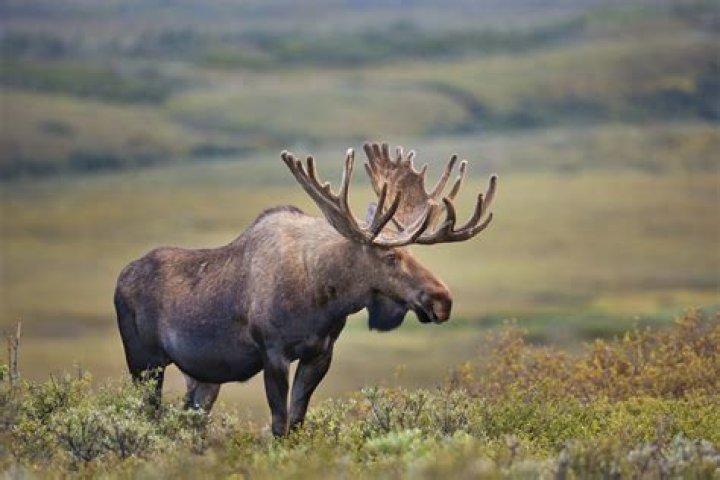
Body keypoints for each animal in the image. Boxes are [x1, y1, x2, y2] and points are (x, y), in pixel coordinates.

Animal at [114, 142, 497, 436]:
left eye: (413, 252)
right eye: (390, 255)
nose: (442, 300)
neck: (324, 298)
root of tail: (120, 279)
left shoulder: (320, 353)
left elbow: (297, 421)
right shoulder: (273, 352)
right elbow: (279, 424)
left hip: (202, 377)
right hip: (144, 361)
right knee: (147, 415)